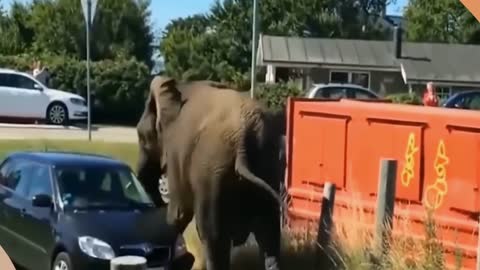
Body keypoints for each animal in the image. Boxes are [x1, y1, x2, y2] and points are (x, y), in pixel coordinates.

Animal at [135, 75, 284, 270]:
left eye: (141, 138)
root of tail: (243, 139)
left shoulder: (176, 150)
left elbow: (179, 213)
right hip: (268, 164)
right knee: (269, 234)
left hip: (212, 169)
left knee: (213, 237)